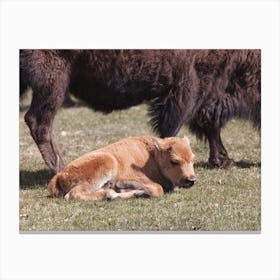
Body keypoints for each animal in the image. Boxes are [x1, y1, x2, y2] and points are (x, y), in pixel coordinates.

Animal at [19, 49, 260, 173]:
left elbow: (210, 124)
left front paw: (224, 161)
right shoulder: (193, 85)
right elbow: (175, 127)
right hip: (53, 81)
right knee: (39, 122)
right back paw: (61, 168)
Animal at [48, 136, 197, 200]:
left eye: (193, 160)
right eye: (174, 161)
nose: (191, 180)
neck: (152, 156)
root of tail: (61, 174)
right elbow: (158, 188)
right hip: (106, 163)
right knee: (73, 194)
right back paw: (110, 194)